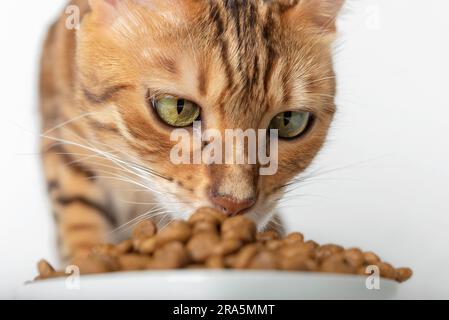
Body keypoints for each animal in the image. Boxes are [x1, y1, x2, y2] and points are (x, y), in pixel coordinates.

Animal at [40, 0, 342, 264]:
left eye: (288, 121)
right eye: (178, 108)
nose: (234, 204)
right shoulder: (64, 139)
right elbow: (79, 213)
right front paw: (86, 258)